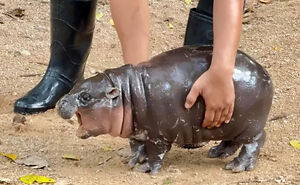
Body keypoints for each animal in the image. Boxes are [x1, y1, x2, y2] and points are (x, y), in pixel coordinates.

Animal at [57, 46, 274, 175]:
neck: (126, 93)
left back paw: (237, 167)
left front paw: (146, 169)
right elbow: (136, 146)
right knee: (232, 141)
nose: (60, 102)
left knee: (256, 141)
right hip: (231, 124)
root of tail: (265, 73)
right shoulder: (138, 131)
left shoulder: (158, 135)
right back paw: (216, 153)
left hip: (250, 125)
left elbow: (156, 153)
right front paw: (134, 161)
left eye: (85, 97)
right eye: (75, 85)